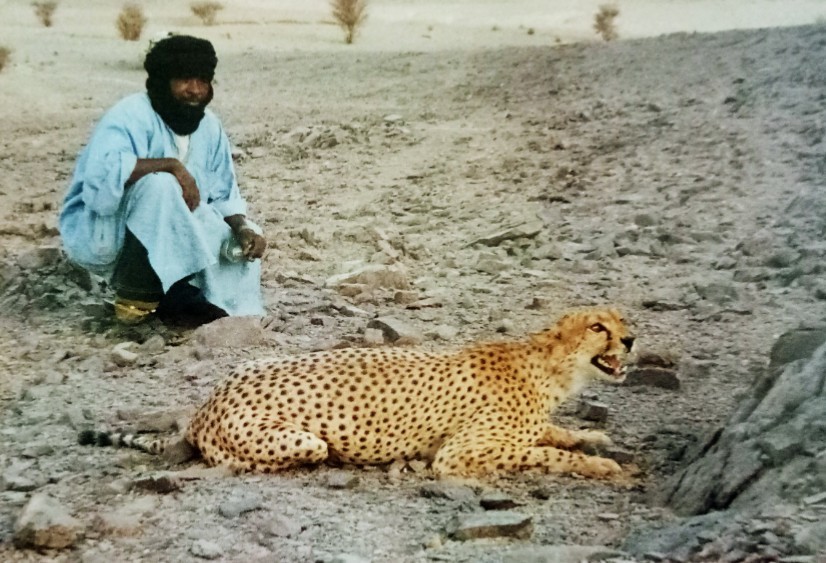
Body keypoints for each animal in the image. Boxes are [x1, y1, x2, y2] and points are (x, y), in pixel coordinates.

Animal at [81, 307, 635, 479]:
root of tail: (204, 407)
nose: (631, 340)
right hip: (303, 440)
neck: (550, 368)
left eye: (623, 320)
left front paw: (592, 439)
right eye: (597, 327)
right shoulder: (458, 456)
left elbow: (551, 435)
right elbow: (541, 452)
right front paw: (601, 465)